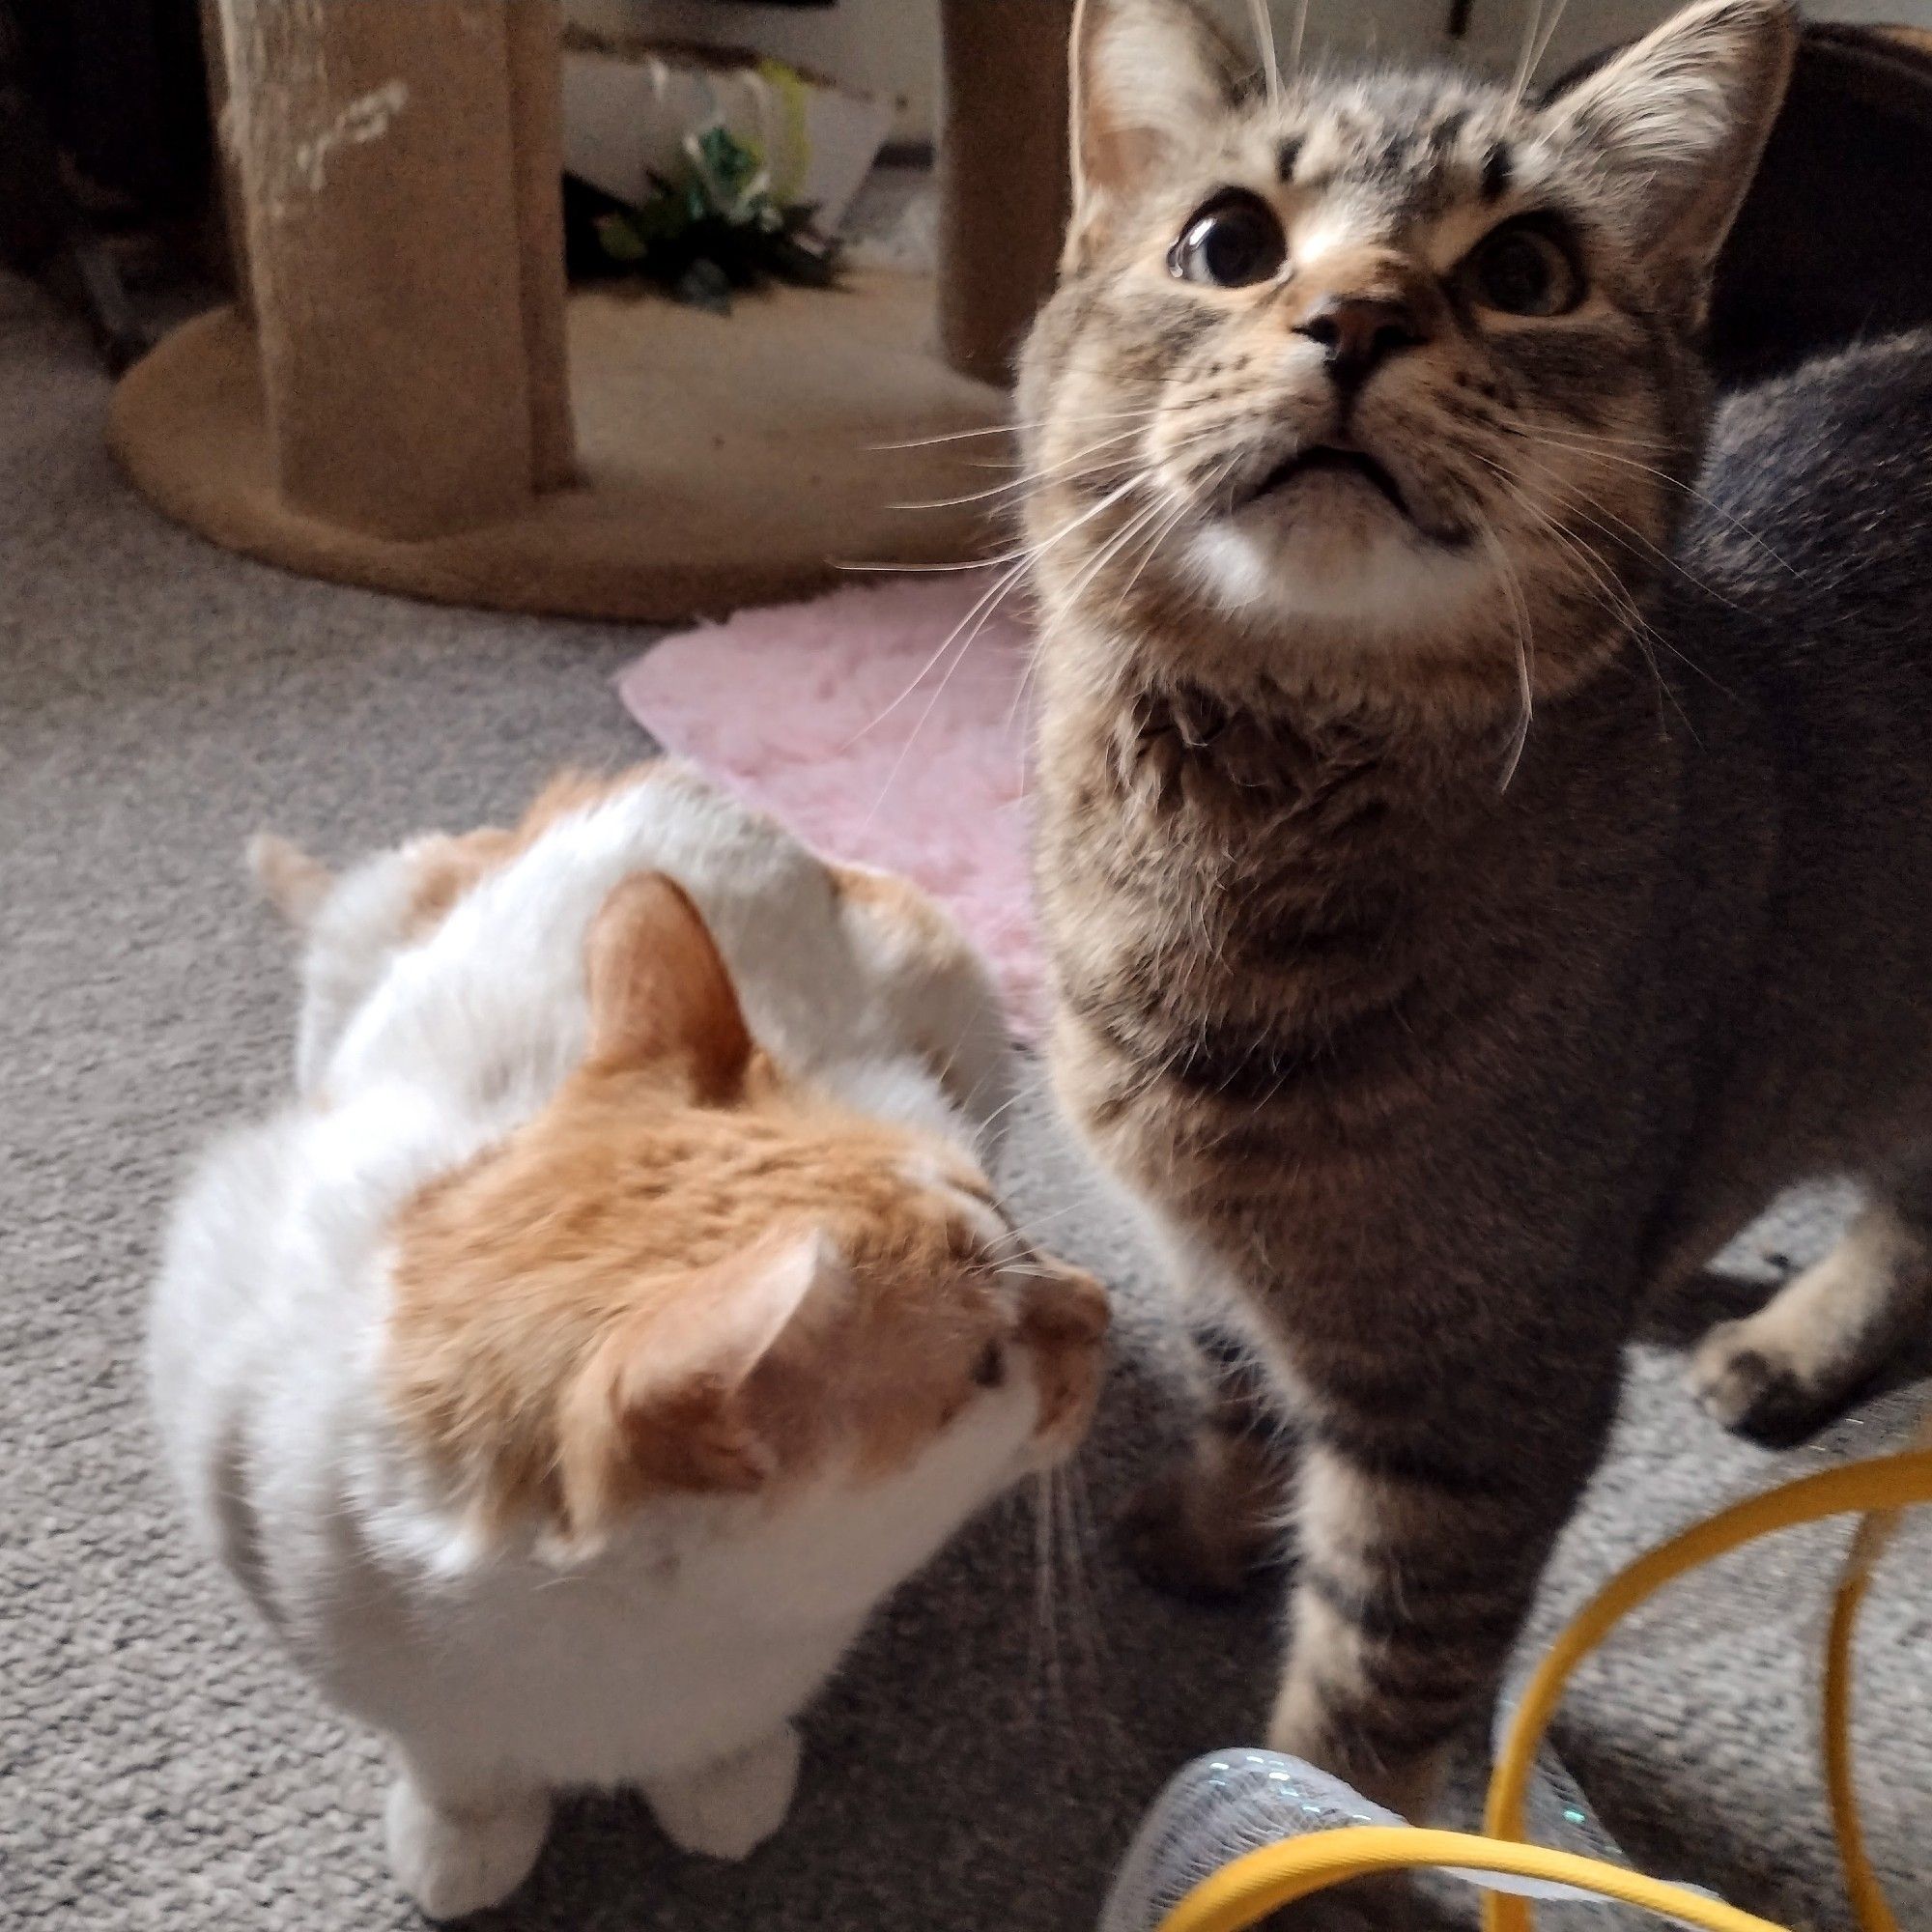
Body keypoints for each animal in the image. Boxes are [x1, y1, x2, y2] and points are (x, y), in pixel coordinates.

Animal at [151, 765, 1105, 1917]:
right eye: (985, 1365)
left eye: (1014, 1225)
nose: (1099, 1304)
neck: (608, 1641)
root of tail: (670, 780)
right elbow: (450, 1753)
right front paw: (465, 1830)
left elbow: (724, 1745)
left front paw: (720, 1780)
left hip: (962, 1014)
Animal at [1020, 0, 1932, 1824]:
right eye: (1228, 244)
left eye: (1524, 272)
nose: (1356, 313)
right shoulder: (1225, 1274)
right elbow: (1236, 1392)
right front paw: (1212, 1529)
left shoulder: (1481, 1416)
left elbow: (1370, 1694)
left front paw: (1309, 1845)